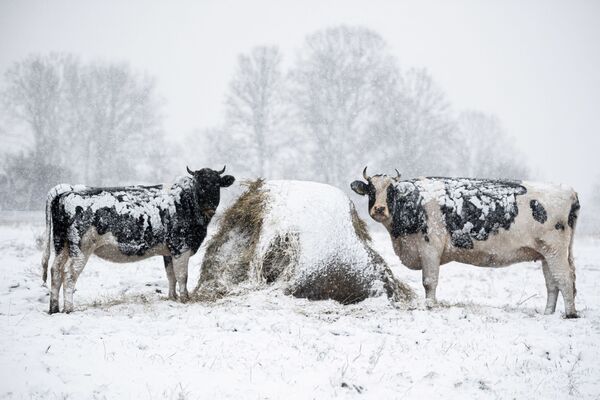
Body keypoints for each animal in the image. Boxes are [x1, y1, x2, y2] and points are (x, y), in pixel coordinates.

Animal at [40, 167, 234, 314]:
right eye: (199, 184)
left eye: (216, 184)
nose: (209, 205)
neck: (186, 203)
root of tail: (67, 192)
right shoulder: (181, 248)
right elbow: (182, 277)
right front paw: (185, 299)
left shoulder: (168, 251)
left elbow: (170, 275)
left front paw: (172, 298)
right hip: (81, 248)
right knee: (69, 274)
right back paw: (69, 309)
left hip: (61, 244)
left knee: (55, 270)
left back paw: (54, 308)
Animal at [352, 167, 580, 318]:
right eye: (371, 190)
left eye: (392, 191)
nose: (379, 209)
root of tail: (569, 190)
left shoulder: (430, 247)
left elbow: (429, 281)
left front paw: (429, 306)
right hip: (546, 254)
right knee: (552, 283)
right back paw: (548, 313)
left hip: (555, 250)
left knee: (565, 279)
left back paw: (569, 314)